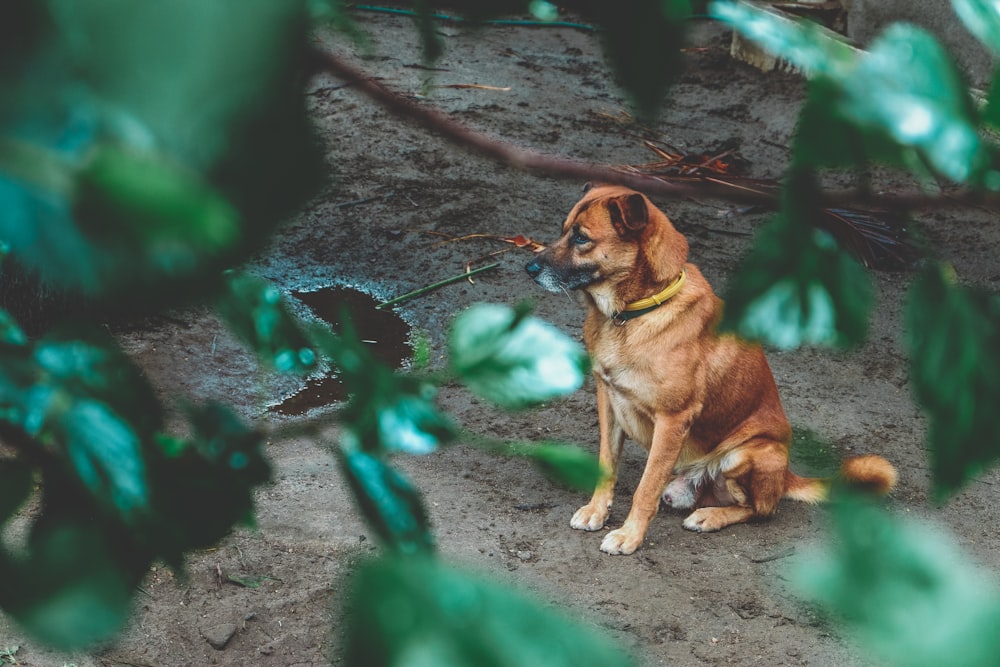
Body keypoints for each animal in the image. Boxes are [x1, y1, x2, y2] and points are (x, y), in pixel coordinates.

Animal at [528, 185, 896, 556]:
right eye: (564, 231)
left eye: (581, 238)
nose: (528, 267)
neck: (633, 315)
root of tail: (785, 476)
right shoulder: (608, 402)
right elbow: (607, 463)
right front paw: (596, 510)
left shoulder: (673, 419)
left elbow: (645, 488)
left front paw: (629, 535)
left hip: (749, 454)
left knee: (759, 510)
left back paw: (711, 516)